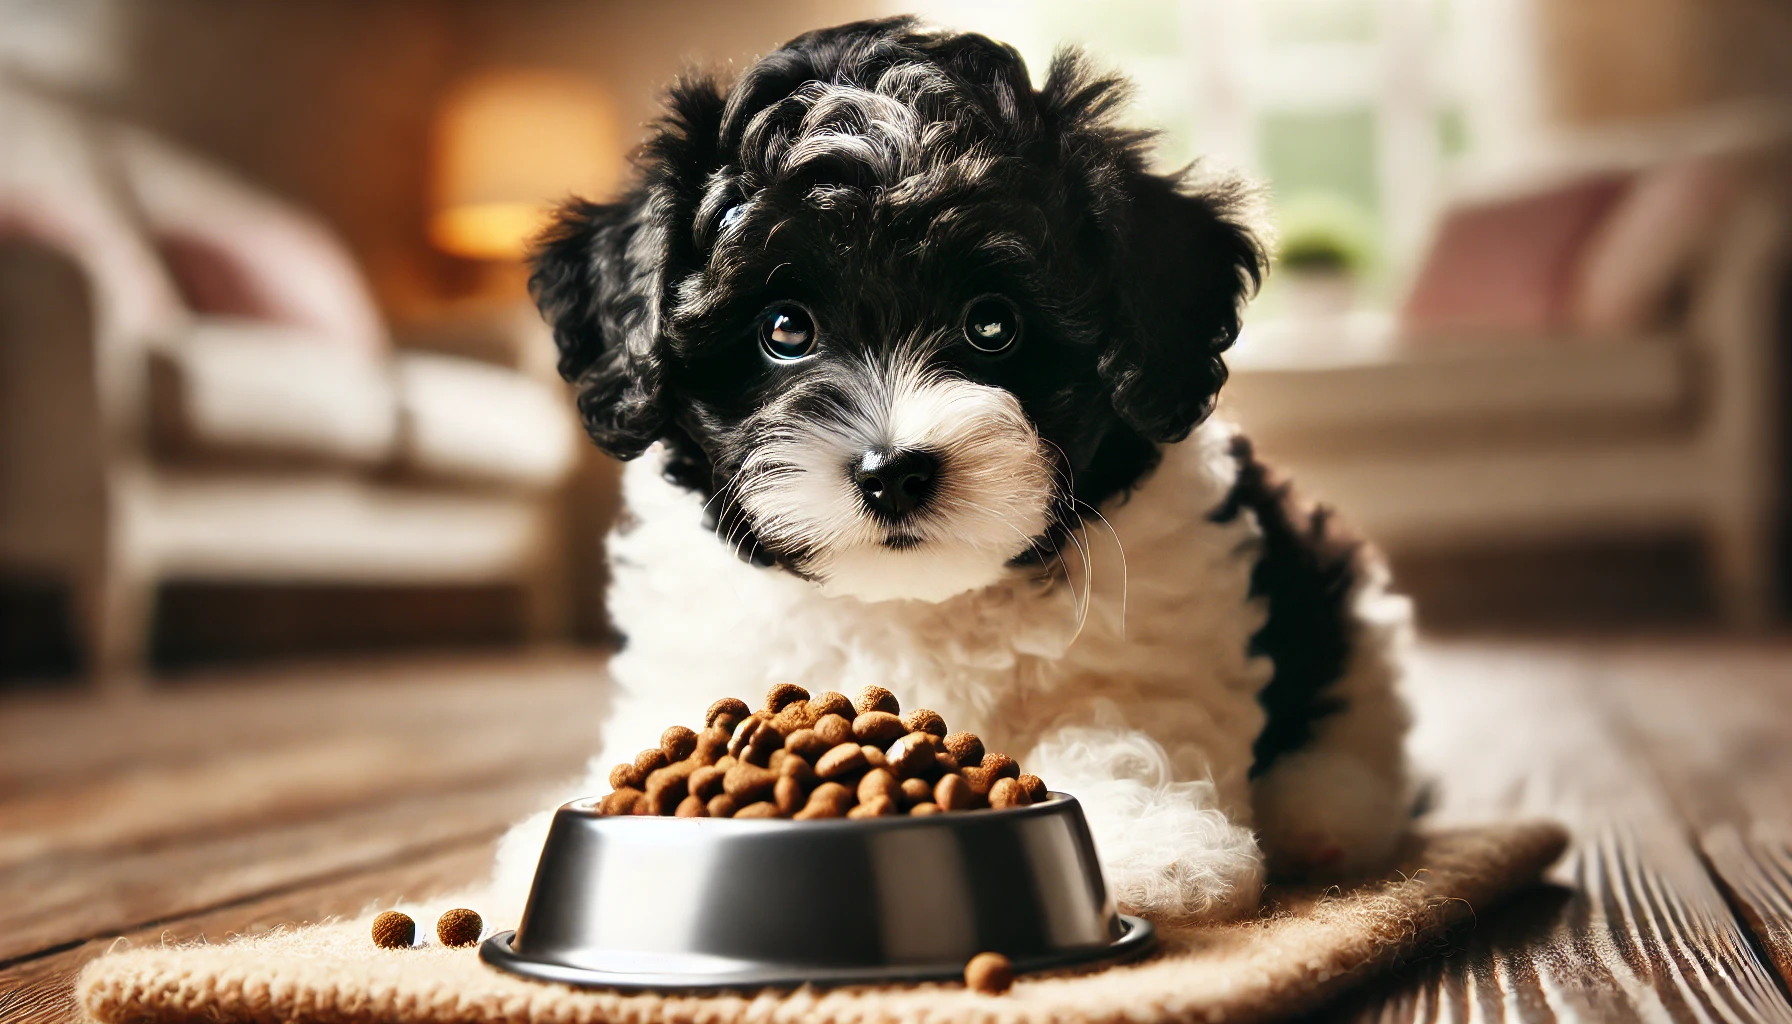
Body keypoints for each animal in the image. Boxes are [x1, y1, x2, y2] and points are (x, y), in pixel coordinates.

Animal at [494, 16, 1412, 925]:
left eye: (992, 325)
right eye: (784, 328)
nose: (893, 471)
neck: (921, 598)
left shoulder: (1153, 630)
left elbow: (1126, 725)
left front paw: (1152, 847)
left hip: (1335, 586)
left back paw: (1327, 812)